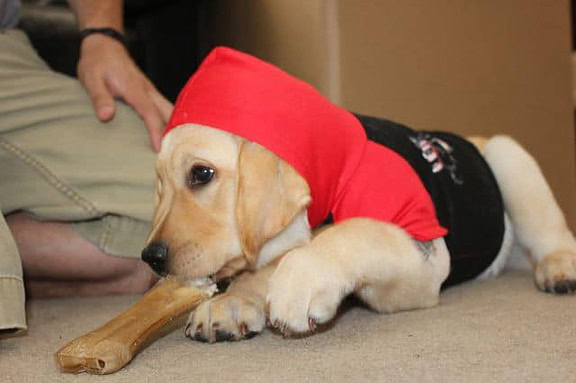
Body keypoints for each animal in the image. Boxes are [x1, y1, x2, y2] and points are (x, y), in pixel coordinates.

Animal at [142, 46, 576, 344]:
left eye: (201, 174)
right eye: (158, 183)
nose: (151, 258)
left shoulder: (426, 259)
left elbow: (358, 230)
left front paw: (300, 279)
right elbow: (264, 266)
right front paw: (233, 301)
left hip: (508, 155)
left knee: (554, 233)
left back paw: (560, 267)